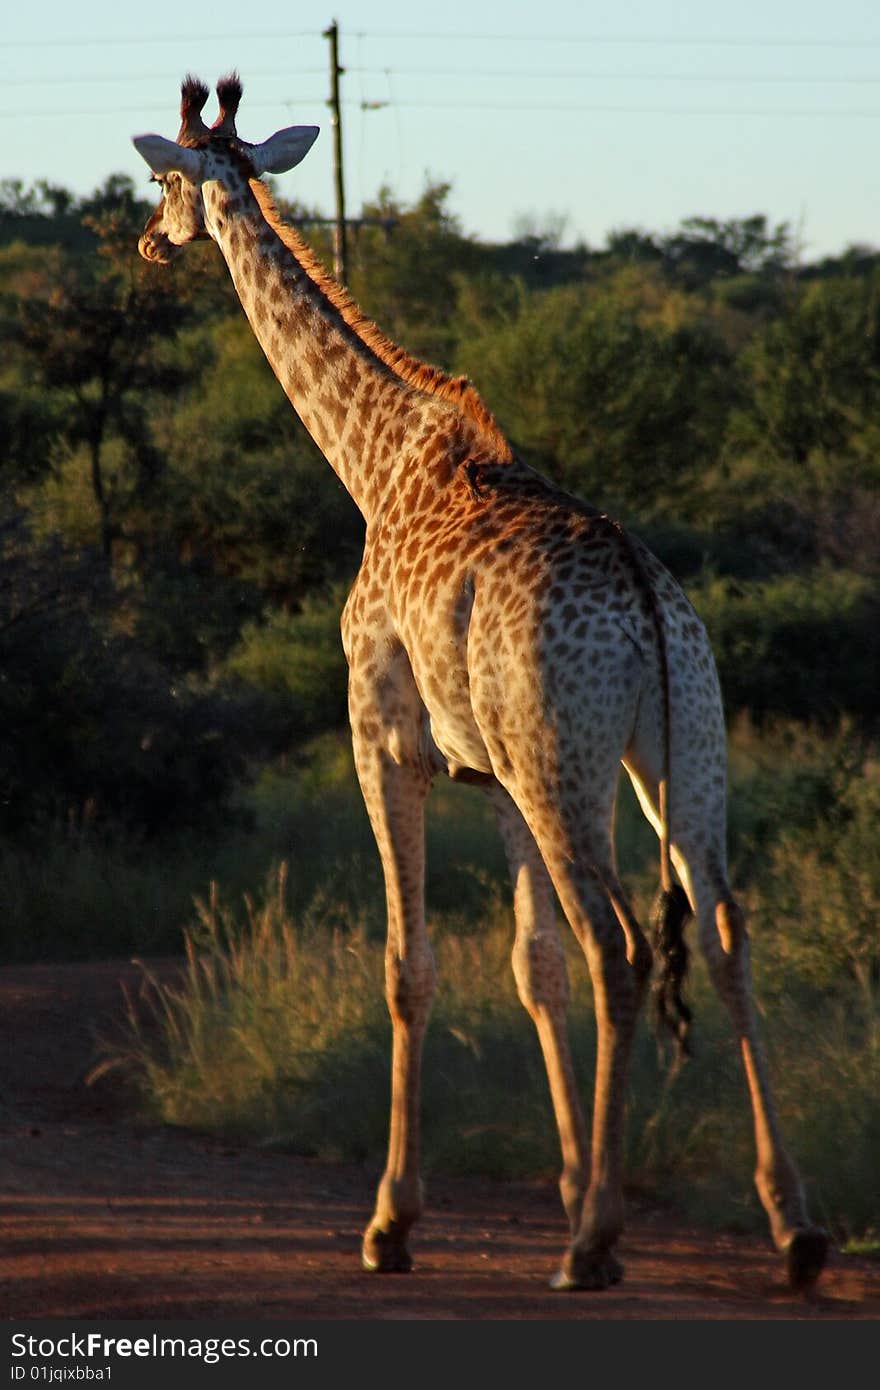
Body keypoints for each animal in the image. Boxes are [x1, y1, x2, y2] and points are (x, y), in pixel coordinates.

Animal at [128, 76, 823, 1289]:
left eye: (167, 176)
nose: (147, 242)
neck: (371, 463)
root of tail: (648, 607)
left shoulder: (383, 741)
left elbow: (411, 966)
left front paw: (394, 1222)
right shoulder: (489, 774)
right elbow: (530, 964)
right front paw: (564, 1184)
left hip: (565, 768)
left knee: (621, 947)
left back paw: (596, 1246)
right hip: (680, 753)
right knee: (726, 930)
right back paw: (789, 1226)